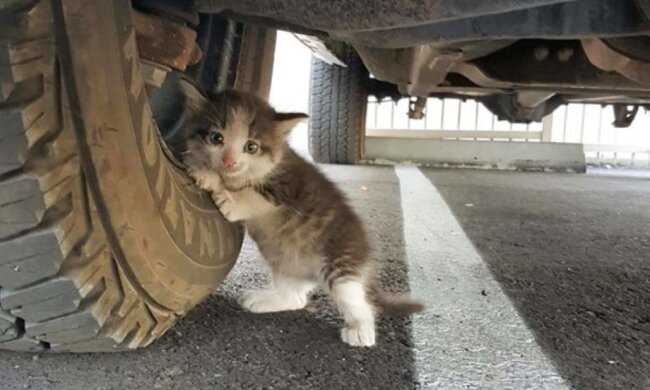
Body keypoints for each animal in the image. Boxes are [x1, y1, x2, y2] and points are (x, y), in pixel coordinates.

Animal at [177, 79, 420, 348]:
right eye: (216, 138)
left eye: (251, 146)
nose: (230, 162)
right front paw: (202, 167)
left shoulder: (288, 188)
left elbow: (250, 193)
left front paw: (221, 188)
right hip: (285, 264)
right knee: (296, 299)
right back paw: (264, 300)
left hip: (341, 262)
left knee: (356, 299)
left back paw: (361, 329)